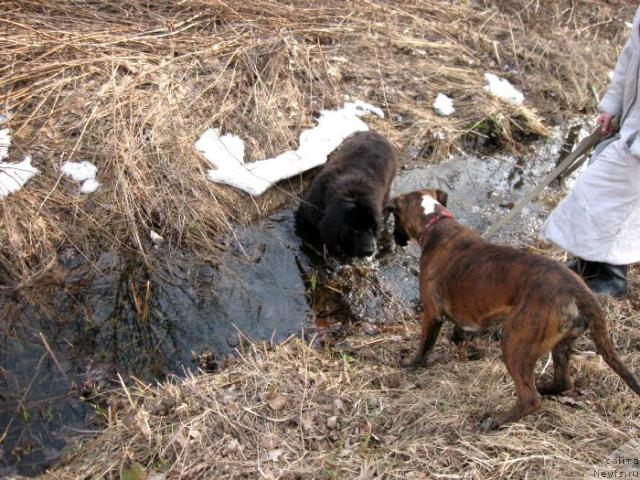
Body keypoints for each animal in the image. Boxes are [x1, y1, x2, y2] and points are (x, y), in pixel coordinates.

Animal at [384, 189, 640, 430]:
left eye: (394, 217)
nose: (395, 239)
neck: (436, 222)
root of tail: (580, 290)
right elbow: (460, 332)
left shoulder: (431, 313)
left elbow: (425, 346)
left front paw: (411, 364)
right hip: (561, 344)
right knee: (562, 383)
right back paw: (545, 387)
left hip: (516, 343)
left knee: (530, 398)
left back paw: (497, 421)